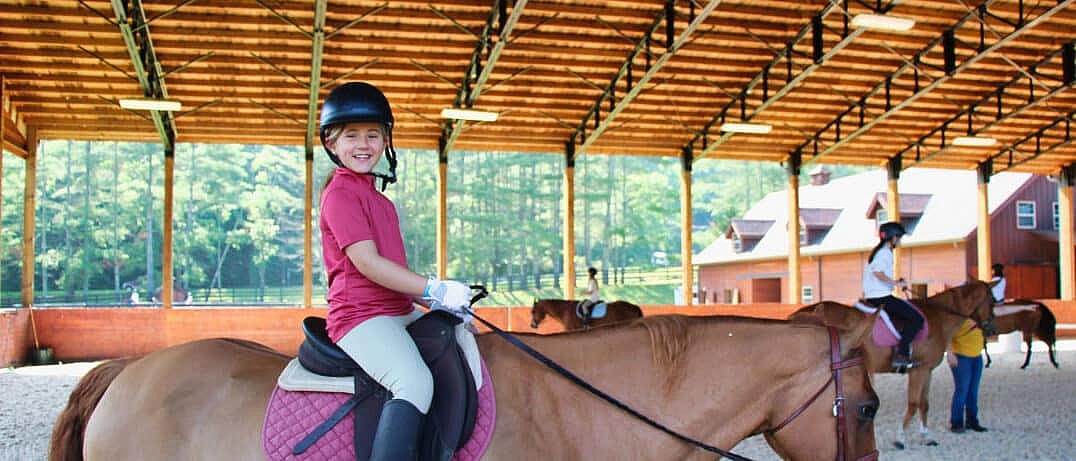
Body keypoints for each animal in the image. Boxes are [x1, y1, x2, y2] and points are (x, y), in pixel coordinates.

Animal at [788, 280, 996, 450]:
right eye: (993, 301)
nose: (992, 329)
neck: (939, 317)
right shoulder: (919, 369)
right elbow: (913, 404)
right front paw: (900, 439)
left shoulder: (927, 370)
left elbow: (924, 404)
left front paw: (926, 437)